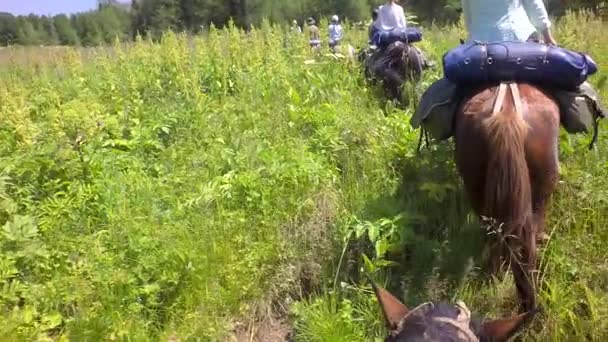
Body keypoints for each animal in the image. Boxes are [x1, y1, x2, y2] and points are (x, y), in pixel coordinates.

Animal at [452, 81, 560, 312]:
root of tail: (507, 114)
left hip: (475, 184)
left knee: (495, 232)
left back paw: (496, 276)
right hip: (542, 189)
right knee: (528, 238)